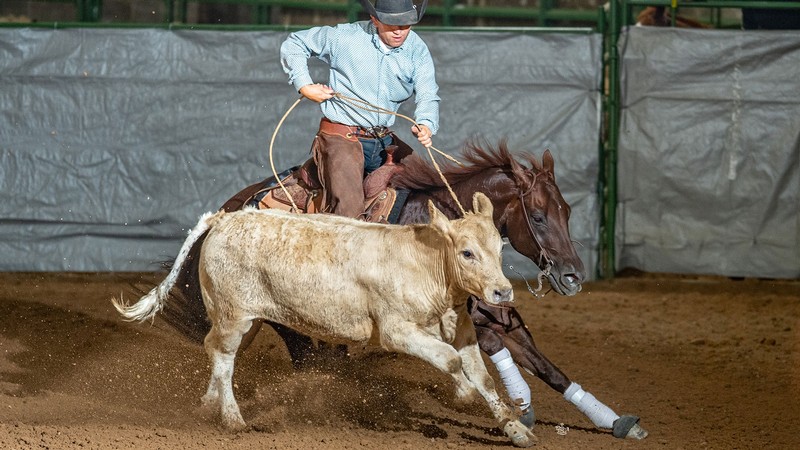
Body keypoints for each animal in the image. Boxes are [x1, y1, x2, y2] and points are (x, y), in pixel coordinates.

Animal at [113, 192, 537, 448]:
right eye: (467, 252)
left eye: (499, 248)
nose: (502, 292)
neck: (428, 266)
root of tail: (225, 218)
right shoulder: (396, 330)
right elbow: (449, 361)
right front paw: (463, 393)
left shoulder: (461, 329)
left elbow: (481, 374)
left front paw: (515, 428)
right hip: (234, 315)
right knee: (223, 355)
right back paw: (233, 419)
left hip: (243, 321)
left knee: (217, 353)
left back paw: (208, 405)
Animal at [157, 139, 646, 440]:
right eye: (539, 216)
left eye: (567, 210)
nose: (572, 276)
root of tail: (228, 209)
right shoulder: (472, 317)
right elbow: (485, 357)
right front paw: (509, 405)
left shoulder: (492, 313)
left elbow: (548, 367)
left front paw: (615, 420)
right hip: (281, 317)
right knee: (300, 356)